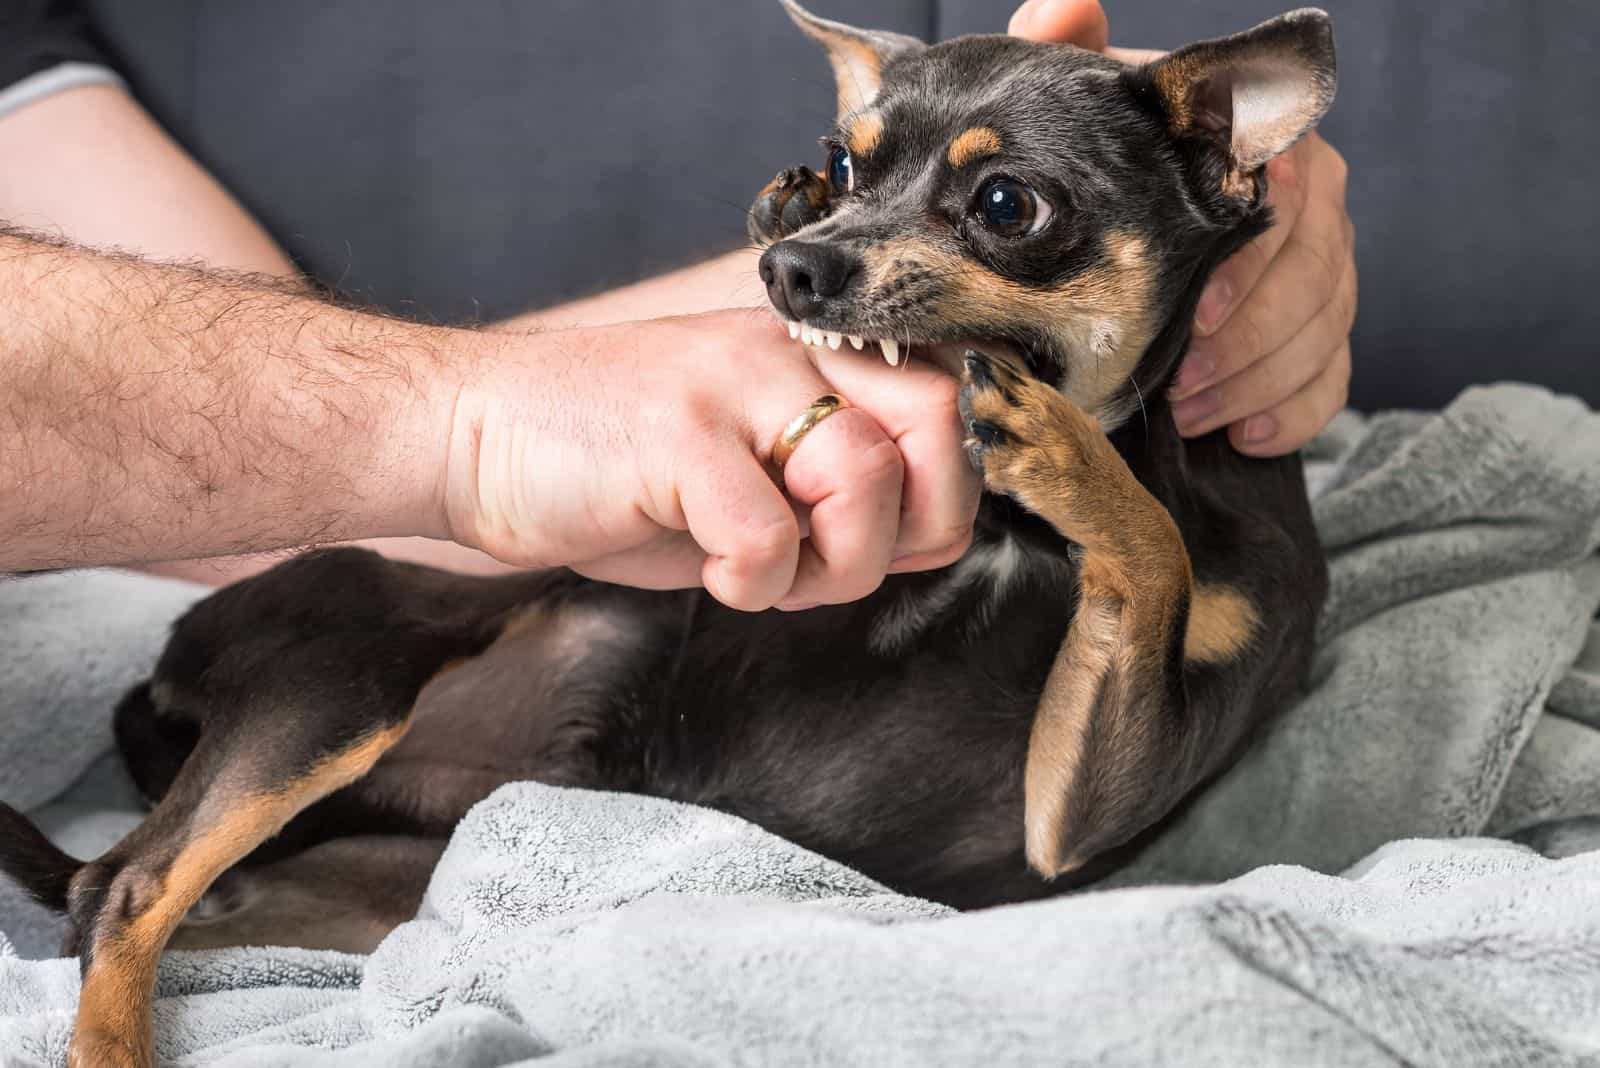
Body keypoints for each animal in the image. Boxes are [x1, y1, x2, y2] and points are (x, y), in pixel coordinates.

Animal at [0, 4, 1331, 1061]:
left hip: (380, 880)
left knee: (150, 904)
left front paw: (1058, 447)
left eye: (1006, 204)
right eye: (844, 164)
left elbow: (1155, 554)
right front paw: (782, 217)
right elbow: (1152, 548)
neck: (1021, 532)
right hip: (348, 676)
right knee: (128, 887)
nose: (799, 263)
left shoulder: (1071, 818)